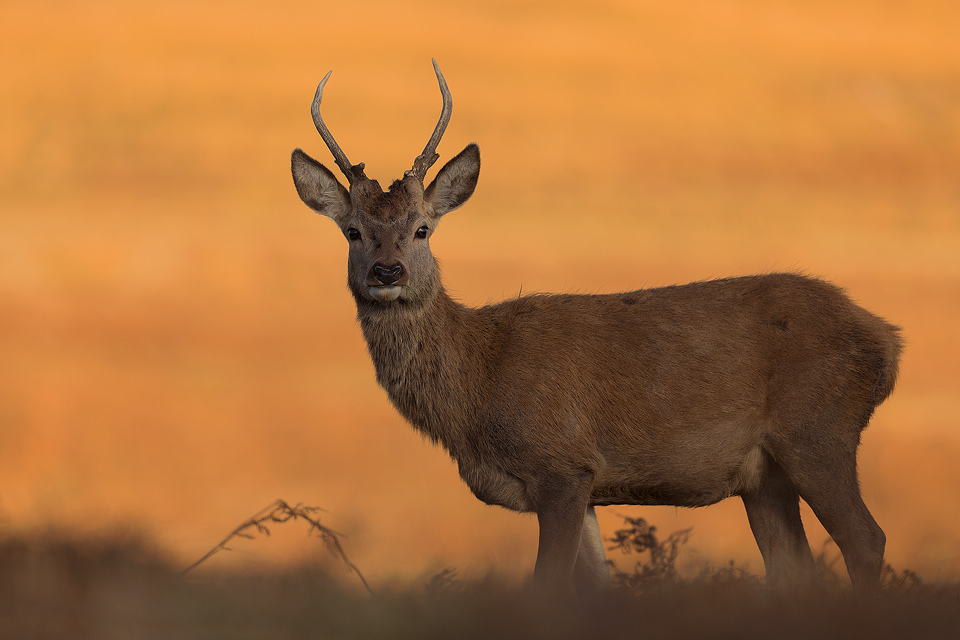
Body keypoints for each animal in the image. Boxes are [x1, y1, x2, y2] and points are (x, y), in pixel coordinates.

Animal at [288, 61, 904, 596]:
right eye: (352, 231)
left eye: (421, 229)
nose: (386, 271)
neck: (478, 384)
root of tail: (886, 340)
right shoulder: (584, 486)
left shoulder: (560, 462)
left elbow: (547, 587)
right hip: (764, 475)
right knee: (793, 566)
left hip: (818, 428)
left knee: (866, 539)